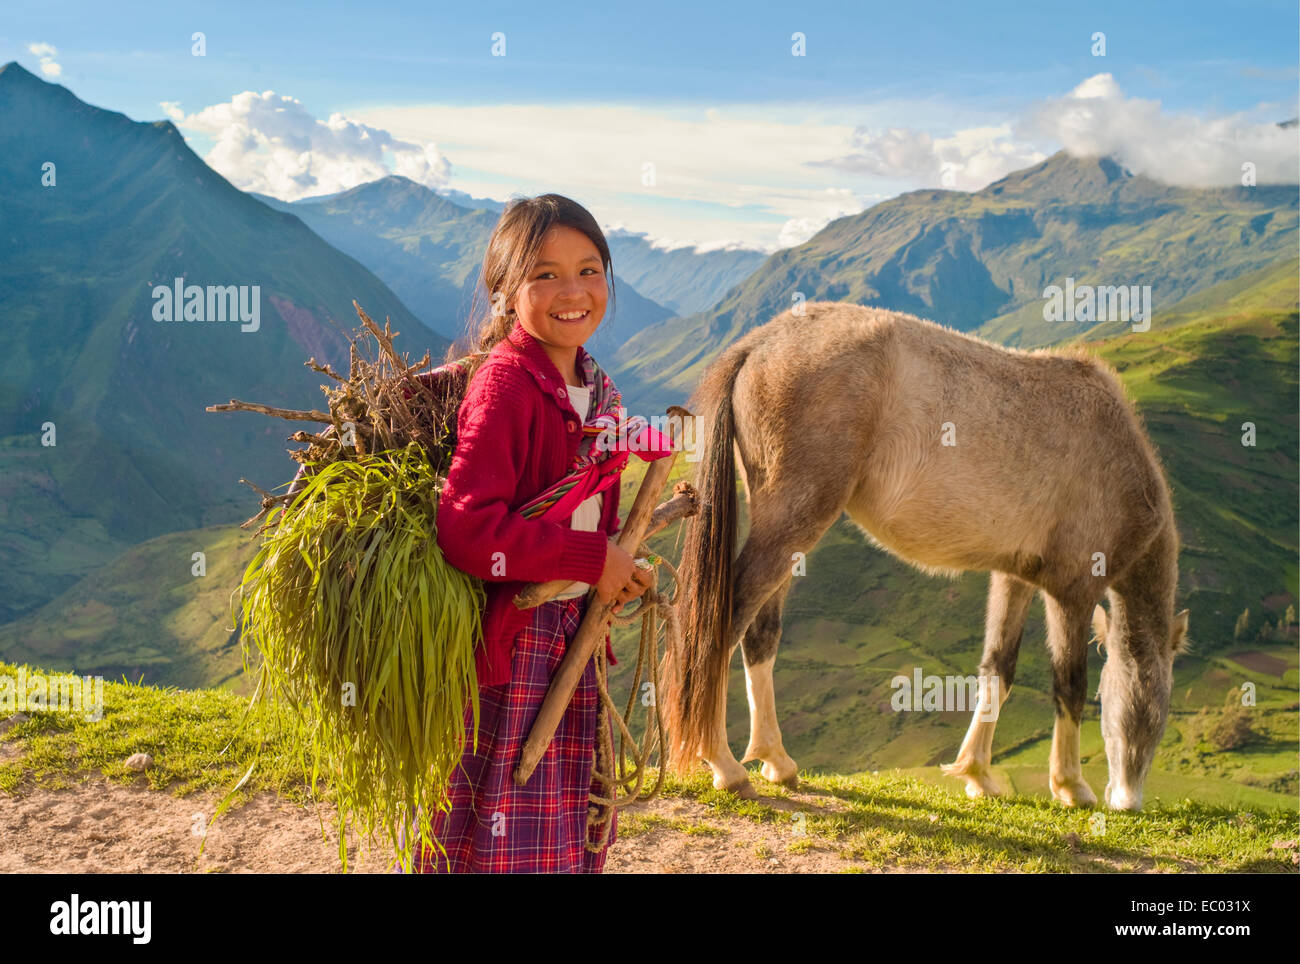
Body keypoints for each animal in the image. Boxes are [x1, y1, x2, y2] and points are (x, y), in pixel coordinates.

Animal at [662, 301, 1188, 811]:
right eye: (1152, 711)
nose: (1128, 802)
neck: (1115, 455)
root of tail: (761, 343)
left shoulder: (1014, 577)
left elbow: (998, 669)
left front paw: (978, 775)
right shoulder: (1072, 590)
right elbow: (1069, 685)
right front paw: (1071, 786)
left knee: (760, 635)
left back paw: (777, 761)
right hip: (795, 519)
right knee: (723, 623)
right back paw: (725, 766)